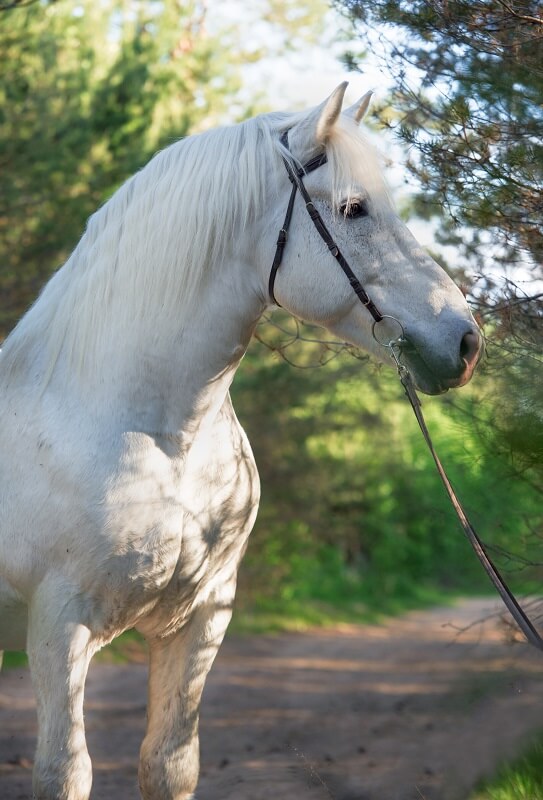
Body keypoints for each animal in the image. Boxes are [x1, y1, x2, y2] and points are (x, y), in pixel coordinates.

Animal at [1, 84, 484, 796]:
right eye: (353, 208)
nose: (466, 342)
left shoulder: (202, 619)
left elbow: (169, 763)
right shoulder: (59, 632)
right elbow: (66, 772)